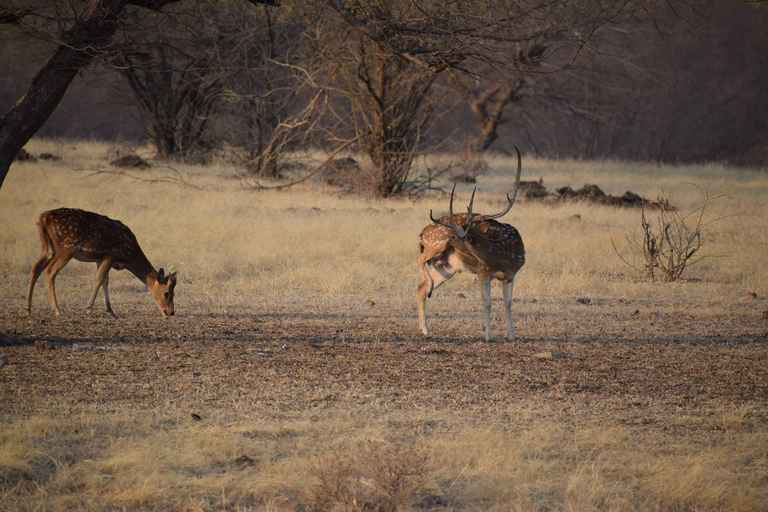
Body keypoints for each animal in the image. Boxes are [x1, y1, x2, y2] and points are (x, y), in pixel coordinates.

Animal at [24, 207, 178, 316]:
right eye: (166, 293)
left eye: (174, 293)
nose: (171, 312)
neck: (128, 256)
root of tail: (43, 219)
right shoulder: (111, 254)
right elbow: (100, 278)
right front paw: (88, 308)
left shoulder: (100, 258)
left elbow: (105, 281)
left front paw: (110, 311)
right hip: (66, 248)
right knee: (50, 271)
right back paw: (56, 309)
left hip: (47, 248)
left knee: (35, 268)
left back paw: (27, 308)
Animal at [416, 147, 524, 340]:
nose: (452, 238)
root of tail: (423, 233)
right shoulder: (483, 272)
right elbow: (487, 302)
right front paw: (488, 337)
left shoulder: (511, 275)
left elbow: (508, 303)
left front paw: (512, 336)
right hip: (435, 246)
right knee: (419, 260)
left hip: (446, 267)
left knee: (420, 286)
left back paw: (425, 328)